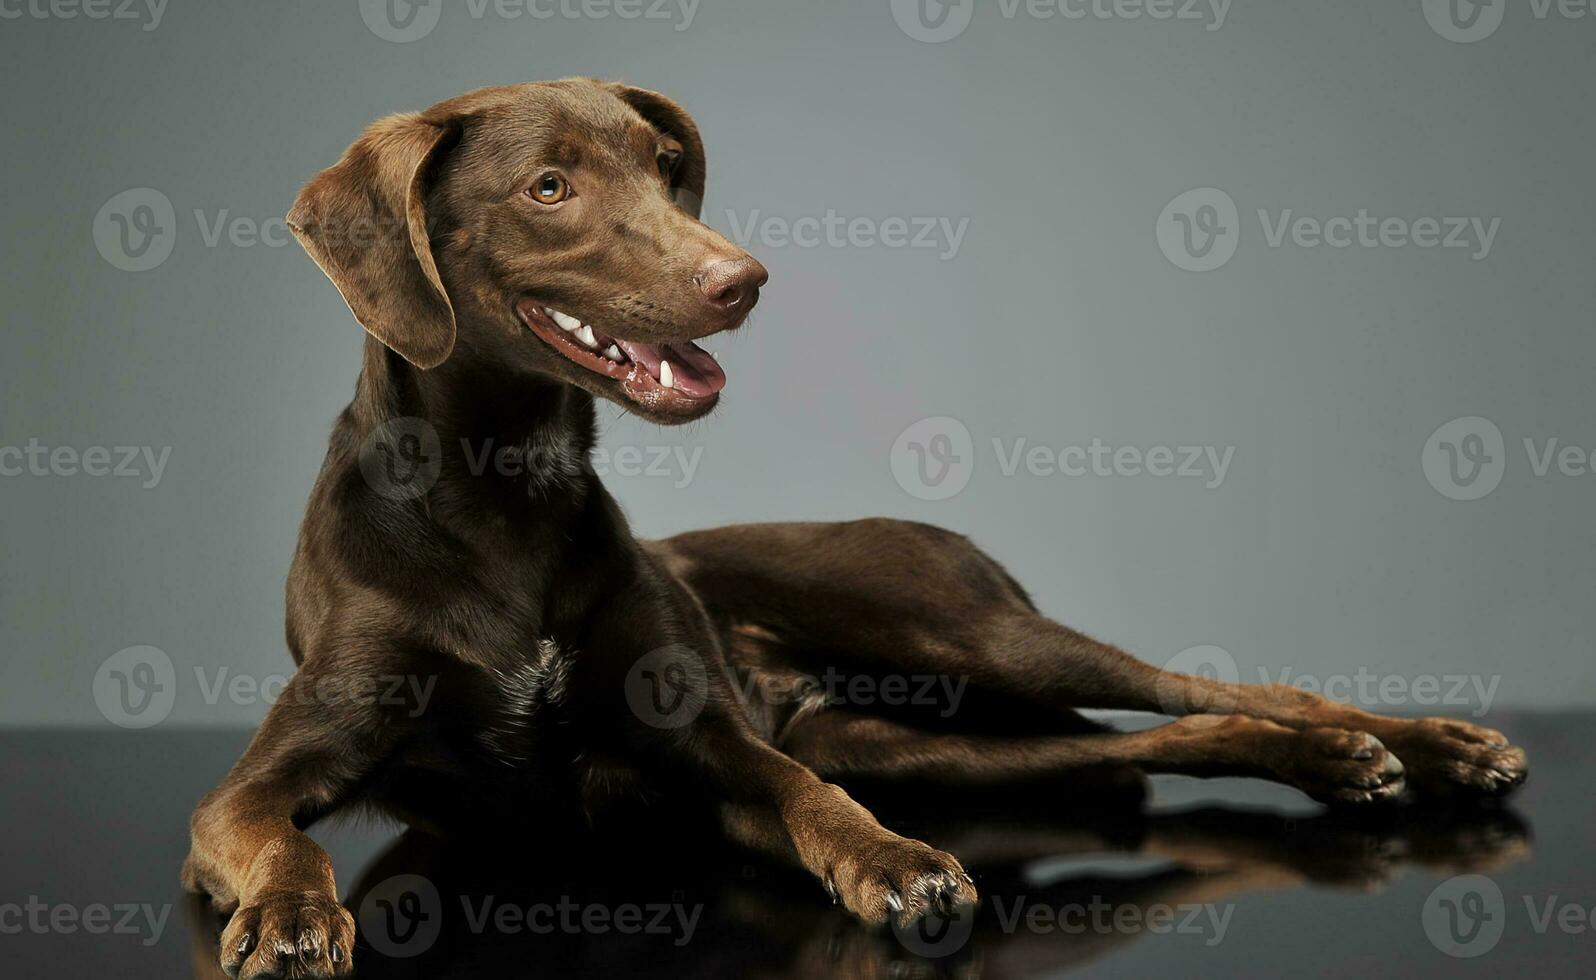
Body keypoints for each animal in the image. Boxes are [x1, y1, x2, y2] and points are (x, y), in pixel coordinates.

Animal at [181, 78, 1525, 980]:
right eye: (549, 186)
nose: (742, 279)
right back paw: (1341, 762)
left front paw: (890, 863)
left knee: (1231, 691)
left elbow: (808, 797)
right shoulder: (261, 783)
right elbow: (269, 836)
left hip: (971, 636)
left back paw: (1418, 745)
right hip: (927, 741)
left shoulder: (711, 740)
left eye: (664, 167)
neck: (507, 493)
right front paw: (291, 914)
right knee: (1155, 746)